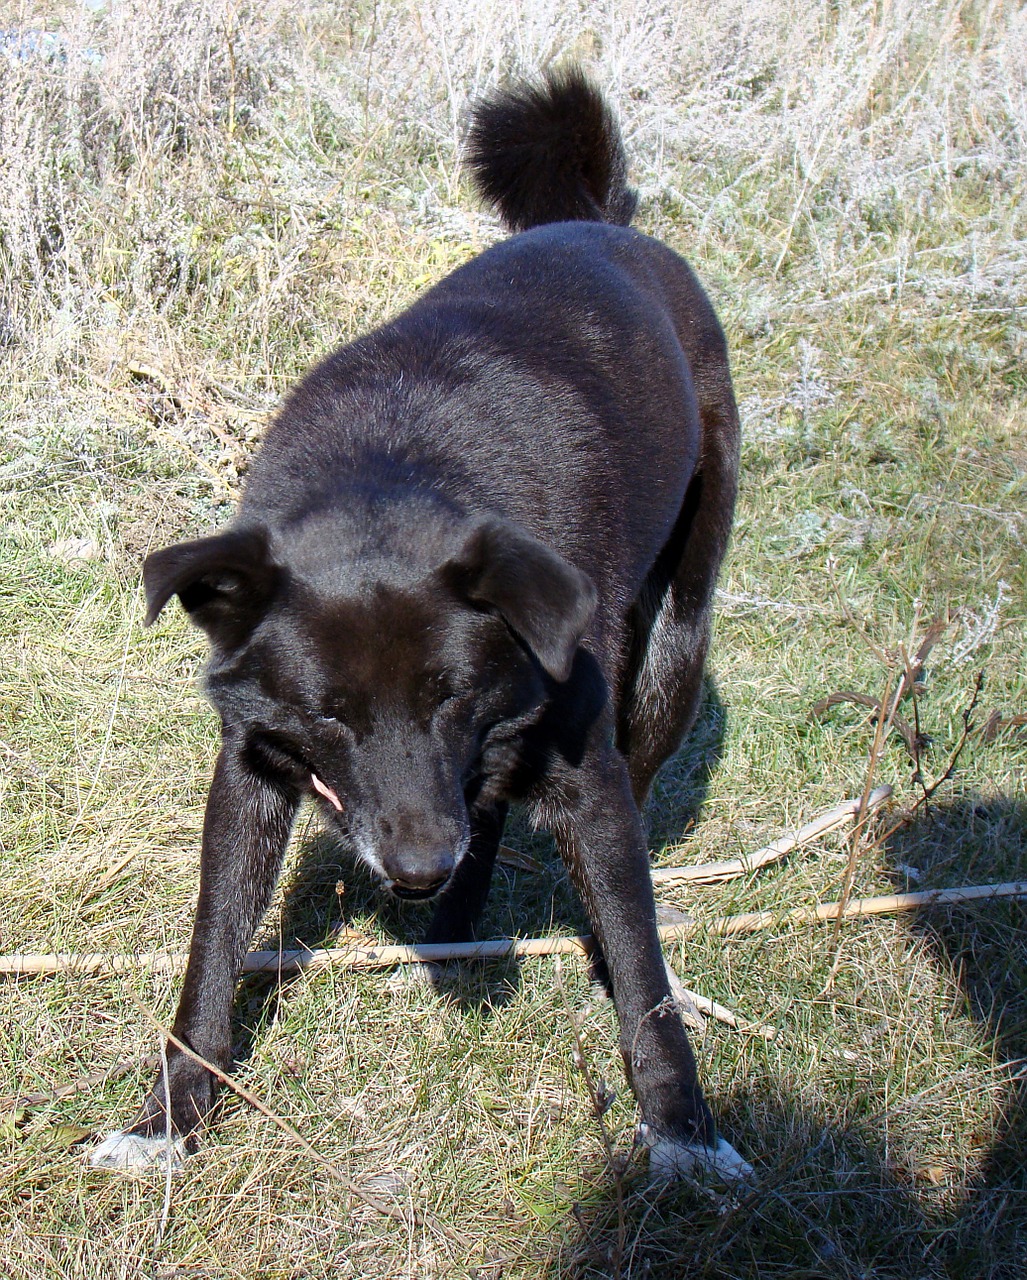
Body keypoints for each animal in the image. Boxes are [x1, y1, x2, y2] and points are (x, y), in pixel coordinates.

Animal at [90, 70, 742, 1177]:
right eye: (330, 716)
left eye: (450, 695)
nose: (414, 868)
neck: (386, 475)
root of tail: (602, 223)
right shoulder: (250, 769)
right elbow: (212, 944)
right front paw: (170, 1118)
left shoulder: (579, 768)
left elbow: (641, 960)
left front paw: (682, 1129)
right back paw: (456, 926)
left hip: (675, 642)